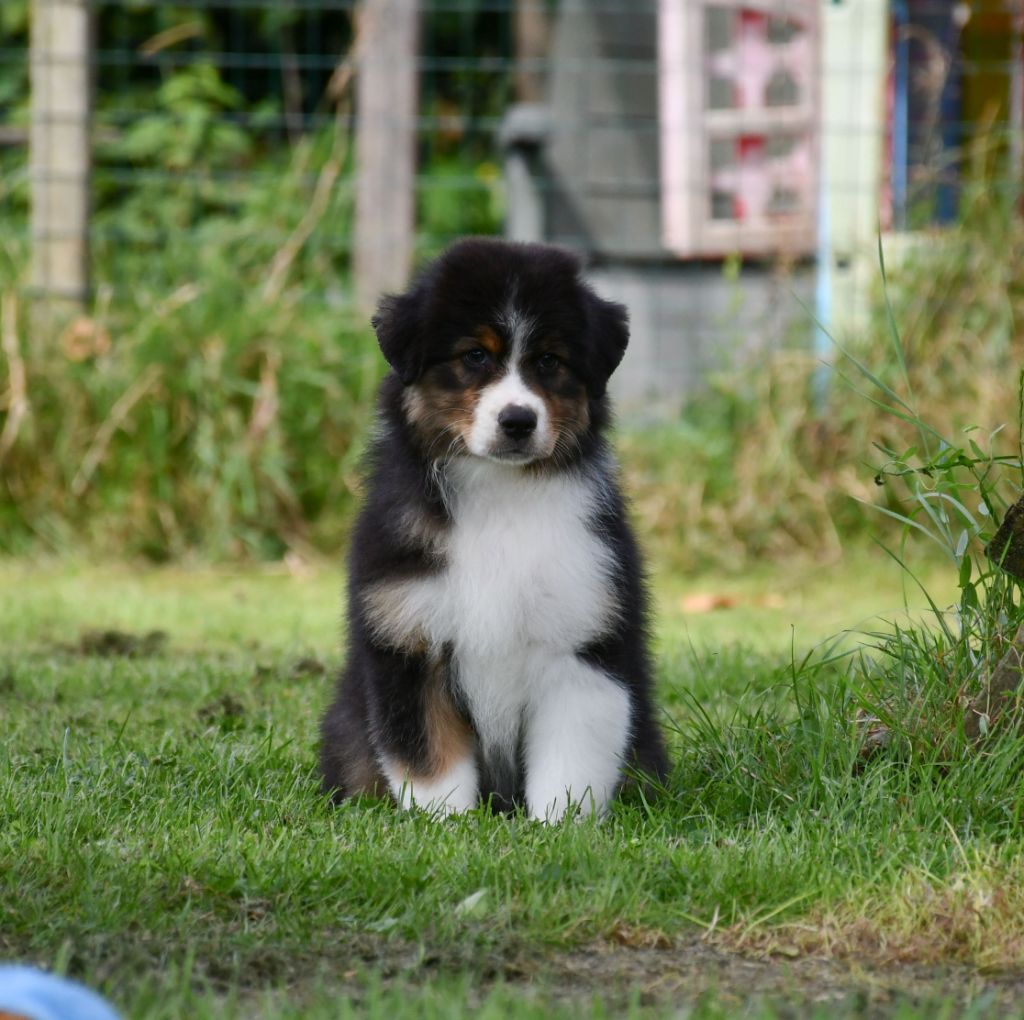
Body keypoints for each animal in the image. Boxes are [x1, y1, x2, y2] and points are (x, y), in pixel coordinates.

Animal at [321, 236, 671, 819]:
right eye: (475, 356)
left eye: (549, 360)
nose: (518, 421)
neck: (500, 493)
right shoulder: (410, 643)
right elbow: (431, 759)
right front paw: (447, 827)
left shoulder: (580, 642)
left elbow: (570, 759)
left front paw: (558, 826)